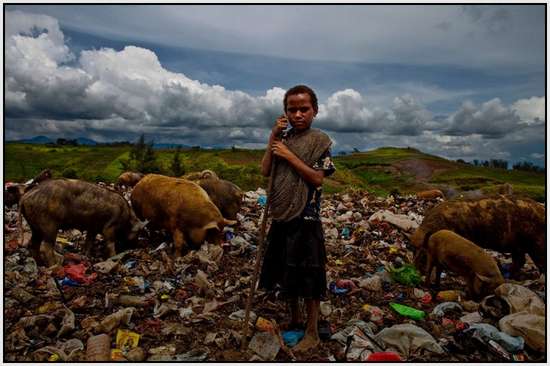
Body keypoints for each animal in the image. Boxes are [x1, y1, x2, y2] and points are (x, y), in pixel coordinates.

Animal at [410, 196, 548, 276]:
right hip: (517, 246)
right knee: (520, 260)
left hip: (537, 244)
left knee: (539, 262)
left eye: (424, 250)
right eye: (412, 250)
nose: (416, 270)